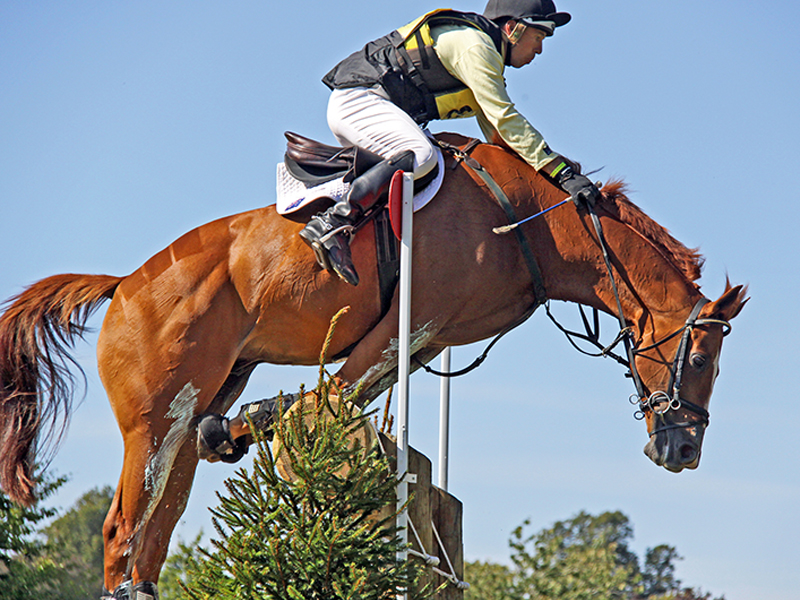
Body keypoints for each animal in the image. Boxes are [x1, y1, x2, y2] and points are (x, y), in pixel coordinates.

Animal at [0, 132, 747, 596]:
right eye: (700, 355)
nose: (682, 451)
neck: (529, 223)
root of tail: (124, 283)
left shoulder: (423, 342)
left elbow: (328, 402)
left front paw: (248, 427)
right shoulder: (403, 325)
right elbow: (325, 400)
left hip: (186, 416)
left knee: (156, 530)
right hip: (154, 421)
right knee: (123, 532)